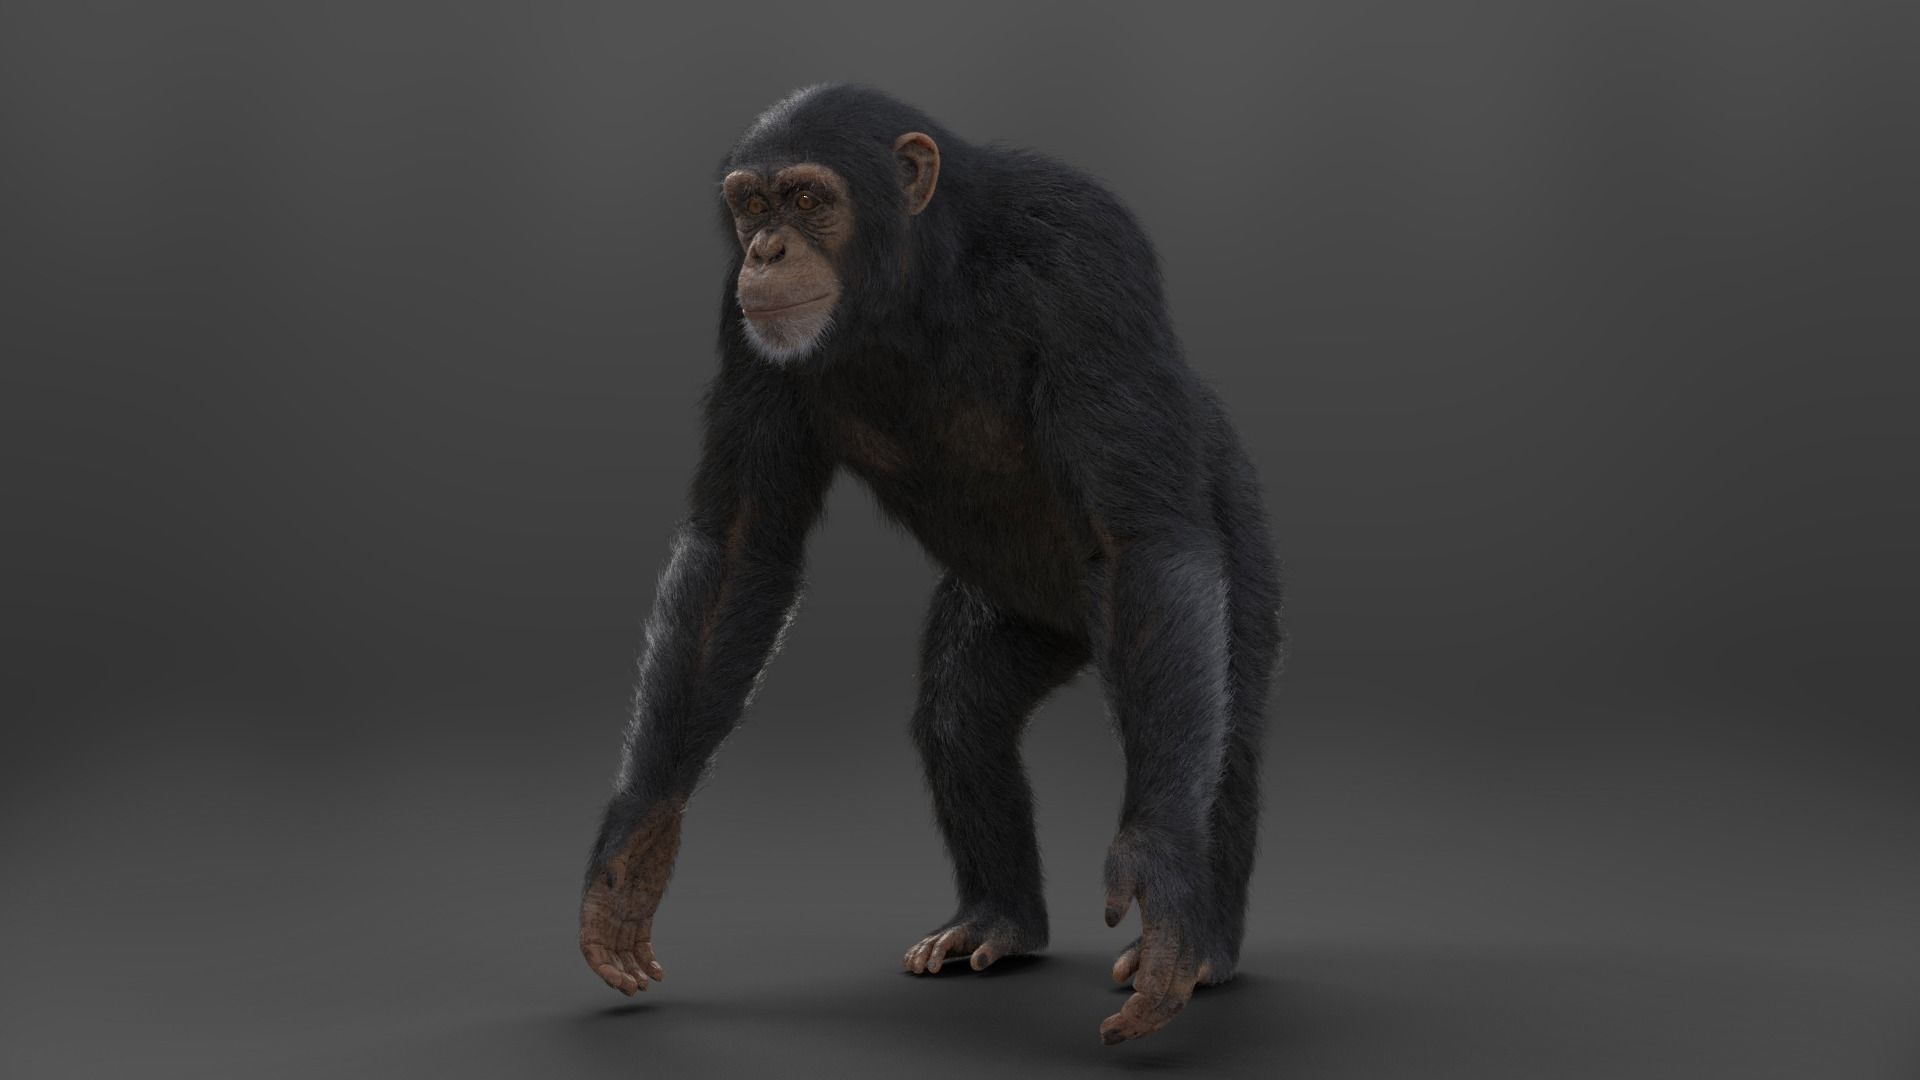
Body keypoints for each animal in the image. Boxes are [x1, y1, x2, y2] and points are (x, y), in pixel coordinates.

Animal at [579, 83, 1283, 1045]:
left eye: (807, 198)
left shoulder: (1089, 255)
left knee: (1222, 720)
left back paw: (1206, 945)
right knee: (960, 713)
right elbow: (739, 548)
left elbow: (1142, 539)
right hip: (1015, 612)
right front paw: (636, 849)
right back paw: (995, 920)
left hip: (1236, 540)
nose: (765, 249)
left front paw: (1160, 875)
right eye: (752, 204)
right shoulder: (738, 319)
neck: (919, 279)